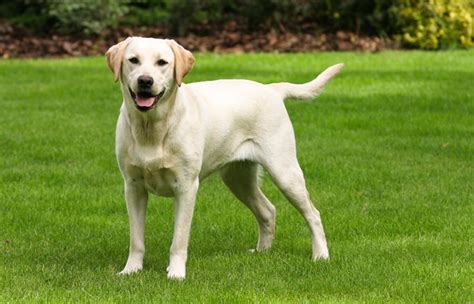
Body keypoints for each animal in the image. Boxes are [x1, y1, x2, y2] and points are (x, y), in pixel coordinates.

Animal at [105, 36, 342, 280]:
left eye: (162, 62)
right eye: (133, 60)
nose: (145, 81)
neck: (152, 128)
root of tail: (271, 89)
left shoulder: (186, 187)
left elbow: (179, 239)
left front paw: (176, 273)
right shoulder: (133, 187)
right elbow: (136, 239)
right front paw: (131, 270)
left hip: (284, 171)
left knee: (313, 213)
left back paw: (321, 255)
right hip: (238, 179)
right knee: (268, 210)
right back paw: (262, 252)